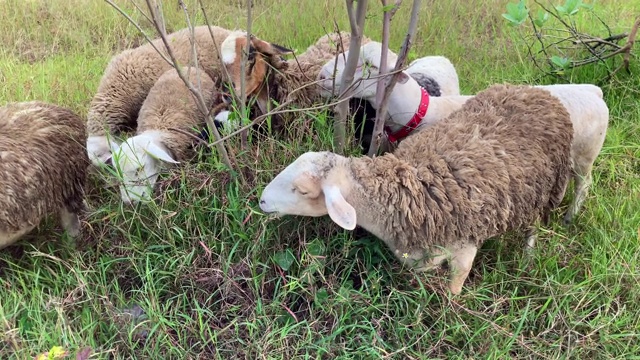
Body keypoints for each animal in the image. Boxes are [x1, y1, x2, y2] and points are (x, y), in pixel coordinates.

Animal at [258, 84, 576, 296]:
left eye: (301, 190)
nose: (261, 201)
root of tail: (535, 90)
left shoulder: (464, 248)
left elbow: (454, 289)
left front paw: (450, 310)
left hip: (547, 188)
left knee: (534, 226)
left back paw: (528, 255)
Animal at [318, 40, 608, 225]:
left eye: (369, 66)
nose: (321, 76)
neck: (420, 112)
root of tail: (593, 90)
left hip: (586, 155)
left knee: (585, 184)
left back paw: (570, 217)